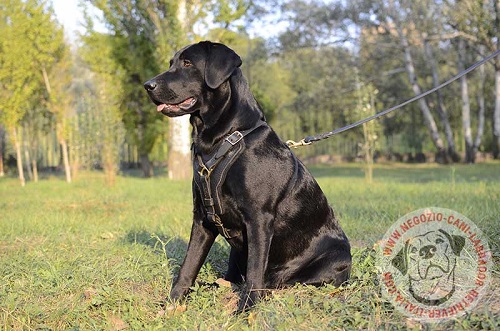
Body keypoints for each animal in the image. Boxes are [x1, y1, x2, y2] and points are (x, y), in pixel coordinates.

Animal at [143, 41, 350, 312]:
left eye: (187, 63)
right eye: (171, 63)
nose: (147, 85)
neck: (223, 139)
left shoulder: (259, 218)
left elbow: (254, 272)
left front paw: (246, 310)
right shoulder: (202, 218)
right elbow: (189, 265)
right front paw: (174, 302)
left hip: (334, 257)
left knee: (282, 282)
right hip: (236, 252)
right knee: (234, 278)